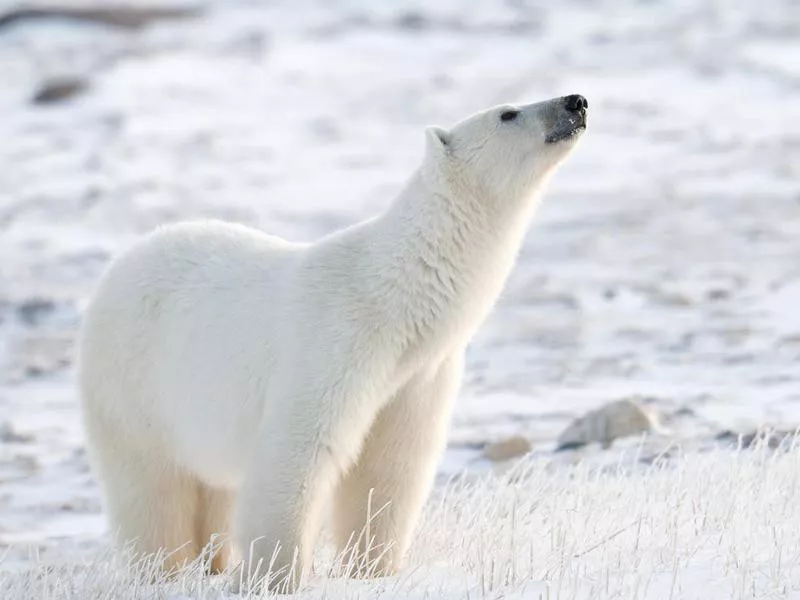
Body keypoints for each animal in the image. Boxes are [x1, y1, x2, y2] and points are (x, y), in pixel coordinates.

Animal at [78, 94, 588, 592]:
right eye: (508, 112)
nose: (576, 101)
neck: (396, 294)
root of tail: (114, 271)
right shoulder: (335, 342)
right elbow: (299, 449)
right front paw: (274, 576)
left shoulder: (418, 374)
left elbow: (390, 465)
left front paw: (374, 570)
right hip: (133, 384)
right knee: (152, 490)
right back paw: (161, 571)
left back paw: (214, 564)